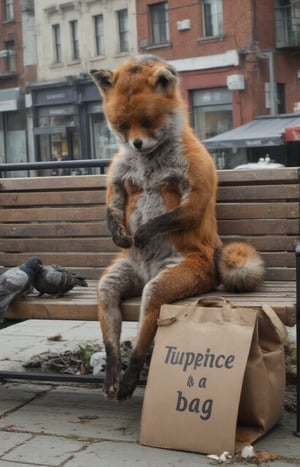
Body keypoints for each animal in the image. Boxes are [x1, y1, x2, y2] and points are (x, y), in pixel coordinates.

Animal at [89, 53, 264, 400]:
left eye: (149, 121)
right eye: (122, 126)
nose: (136, 143)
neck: (148, 162)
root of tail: (145, 275)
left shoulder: (196, 183)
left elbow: (172, 217)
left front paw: (142, 233)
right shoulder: (117, 177)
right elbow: (113, 206)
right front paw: (120, 235)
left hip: (161, 286)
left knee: (145, 338)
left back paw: (131, 377)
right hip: (112, 284)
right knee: (111, 332)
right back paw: (114, 373)